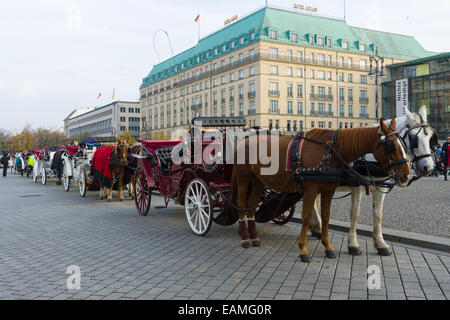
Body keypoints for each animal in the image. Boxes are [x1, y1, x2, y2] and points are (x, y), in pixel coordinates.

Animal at [230, 117, 410, 262]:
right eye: (392, 147)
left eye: (403, 144)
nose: (406, 174)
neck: (331, 151)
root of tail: (245, 140)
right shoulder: (313, 189)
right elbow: (307, 217)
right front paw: (303, 250)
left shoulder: (329, 190)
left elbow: (327, 216)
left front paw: (328, 247)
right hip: (244, 178)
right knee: (241, 203)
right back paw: (245, 238)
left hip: (258, 180)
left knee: (252, 205)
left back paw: (254, 237)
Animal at [312, 106, 434, 256]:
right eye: (414, 138)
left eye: (430, 137)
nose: (428, 167)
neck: (371, 155)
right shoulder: (356, 186)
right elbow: (355, 213)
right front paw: (353, 244)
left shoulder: (380, 187)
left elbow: (378, 214)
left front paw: (380, 244)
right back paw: (318, 226)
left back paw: (316, 228)